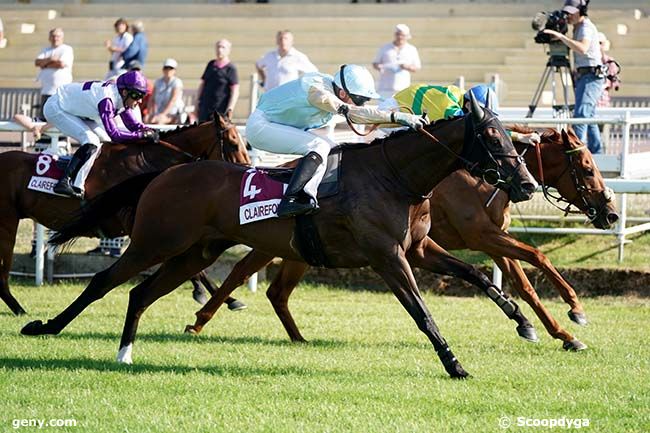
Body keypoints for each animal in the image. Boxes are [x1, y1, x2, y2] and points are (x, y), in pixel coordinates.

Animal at [0, 111, 249, 314]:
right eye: (234, 144)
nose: (244, 171)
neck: (144, 163)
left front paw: (229, 299)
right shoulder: (144, 227)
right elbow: (188, 264)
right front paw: (209, 294)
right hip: (7, 222)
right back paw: (19, 309)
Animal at [184, 124, 616, 352]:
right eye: (586, 167)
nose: (610, 212)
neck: (479, 177)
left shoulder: (491, 238)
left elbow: (521, 281)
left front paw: (555, 330)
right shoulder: (483, 235)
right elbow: (535, 260)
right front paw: (573, 312)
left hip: (301, 251)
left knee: (277, 291)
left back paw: (294, 336)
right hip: (277, 245)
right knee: (240, 271)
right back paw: (202, 319)